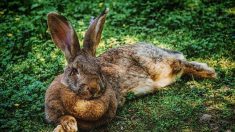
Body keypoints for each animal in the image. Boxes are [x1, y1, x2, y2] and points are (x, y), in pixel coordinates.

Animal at [44, 8, 217, 132]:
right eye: (74, 71)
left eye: (99, 68)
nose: (94, 88)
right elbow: (64, 119)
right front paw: (66, 127)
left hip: (157, 65)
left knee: (180, 61)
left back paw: (208, 71)